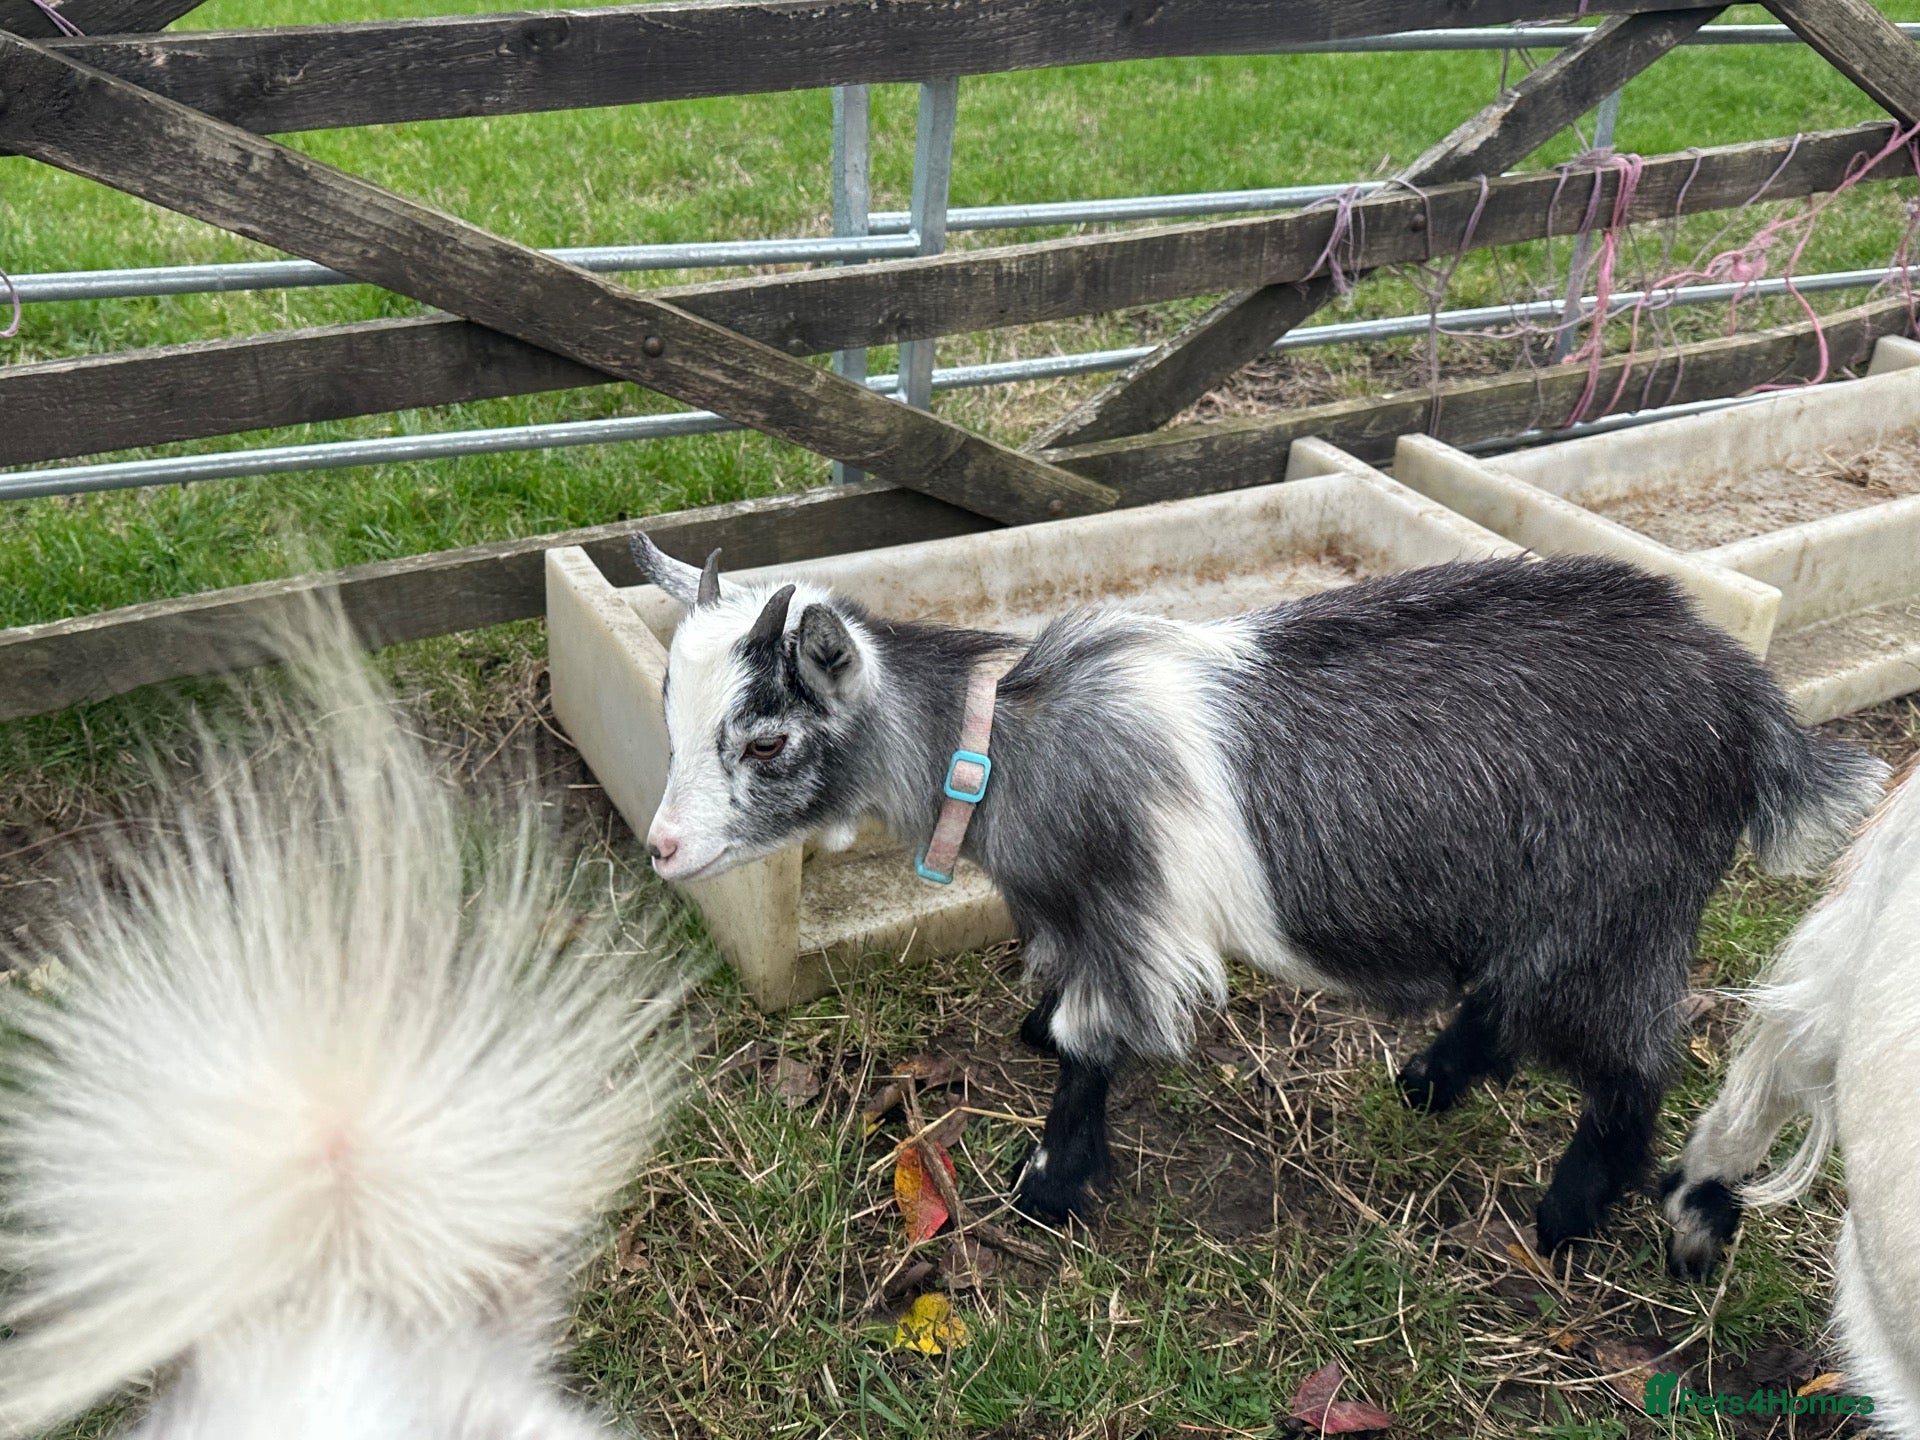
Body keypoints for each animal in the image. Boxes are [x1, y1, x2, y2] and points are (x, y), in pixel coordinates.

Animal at [629, 537, 1885, 1254]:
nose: (665, 848)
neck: (1000, 745)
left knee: (1633, 1069)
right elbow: (1054, 985)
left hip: (1617, 911)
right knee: (1506, 1003)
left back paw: (1572, 1217)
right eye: (668, 707)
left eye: (767, 738)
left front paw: (1048, 1187)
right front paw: (1030, 1031)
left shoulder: (1131, 911)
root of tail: (1749, 704)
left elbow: (1096, 1038)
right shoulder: (1072, 906)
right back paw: (1433, 1082)